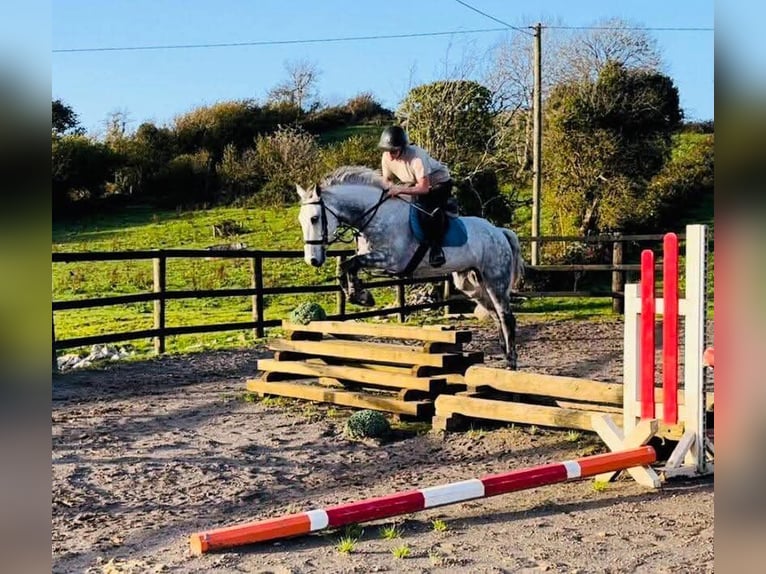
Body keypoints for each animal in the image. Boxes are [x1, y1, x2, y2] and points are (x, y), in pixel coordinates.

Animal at [296, 166, 524, 366]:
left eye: (315, 218)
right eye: (301, 220)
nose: (312, 260)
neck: (375, 216)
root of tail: (499, 231)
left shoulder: (390, 260)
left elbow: (351, 264)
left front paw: (360, 296)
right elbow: (347, 268)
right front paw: (360, 296)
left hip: (495, 280)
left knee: (506, 316)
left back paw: (511, 362)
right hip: (471, 284)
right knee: (495, 315)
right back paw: (505, 356)